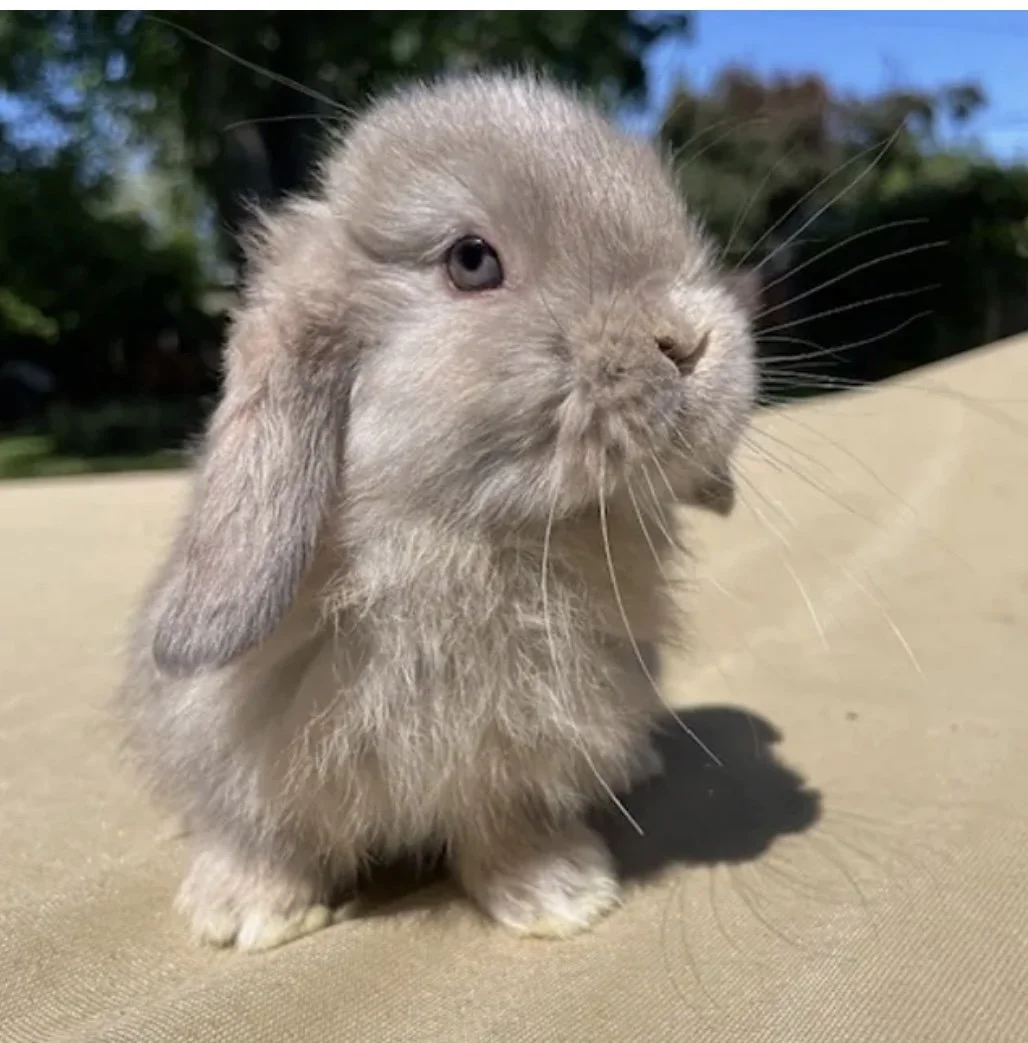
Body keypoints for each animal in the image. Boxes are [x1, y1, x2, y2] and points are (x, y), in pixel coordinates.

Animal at [117, 71, 757, 953]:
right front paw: (248, 914)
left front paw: (562, 896)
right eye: (471, 260)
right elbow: (265, 830)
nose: (689, 341)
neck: (466, 534)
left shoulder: (521, 747)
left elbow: (506, 818)